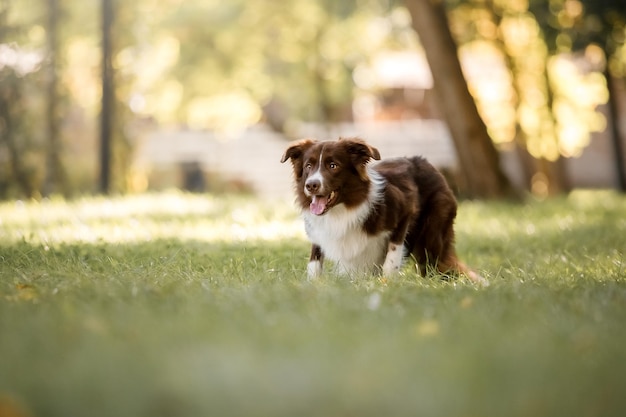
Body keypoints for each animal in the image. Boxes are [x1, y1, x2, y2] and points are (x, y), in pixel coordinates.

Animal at [280, 135, 488, 284]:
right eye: (308, 166)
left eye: (333, 165)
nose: (311, 185)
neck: (341, 210)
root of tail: (427, 163)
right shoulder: (318, 231)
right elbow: (314, 261)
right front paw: (313, 284)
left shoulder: (404, 211)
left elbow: (392, 255)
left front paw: (387, 285)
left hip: (432, 237)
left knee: (437, 265)